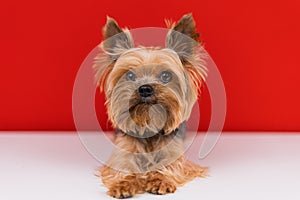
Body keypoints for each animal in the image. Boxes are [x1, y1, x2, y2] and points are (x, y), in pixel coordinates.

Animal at [95, 13, 207, 198]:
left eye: (166, 76)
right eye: (130, 75)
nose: (145, 88)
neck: (148, 123)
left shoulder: (176, 155)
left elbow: (171, 165)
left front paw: (160, 180)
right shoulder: (122, 151)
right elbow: (122, 167)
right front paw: (124, 184)